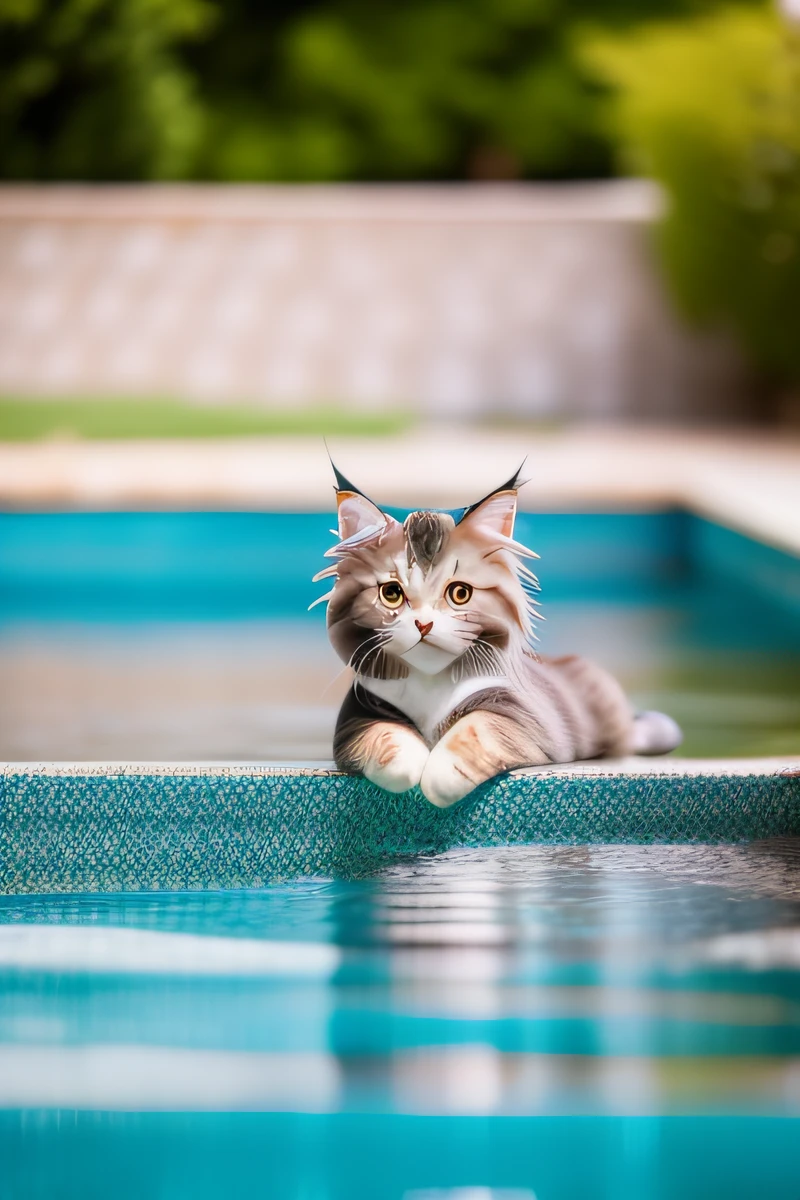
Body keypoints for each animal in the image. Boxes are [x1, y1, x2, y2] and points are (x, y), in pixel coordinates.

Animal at [314, 458, 681, 806]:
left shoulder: (517, 716)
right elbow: (386, 737)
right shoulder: (359, 716)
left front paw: (435, 779)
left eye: (460, 593)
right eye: (391, 593)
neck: (430, 684)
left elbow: (472, 733)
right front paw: (413, 764)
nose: (424, 624)